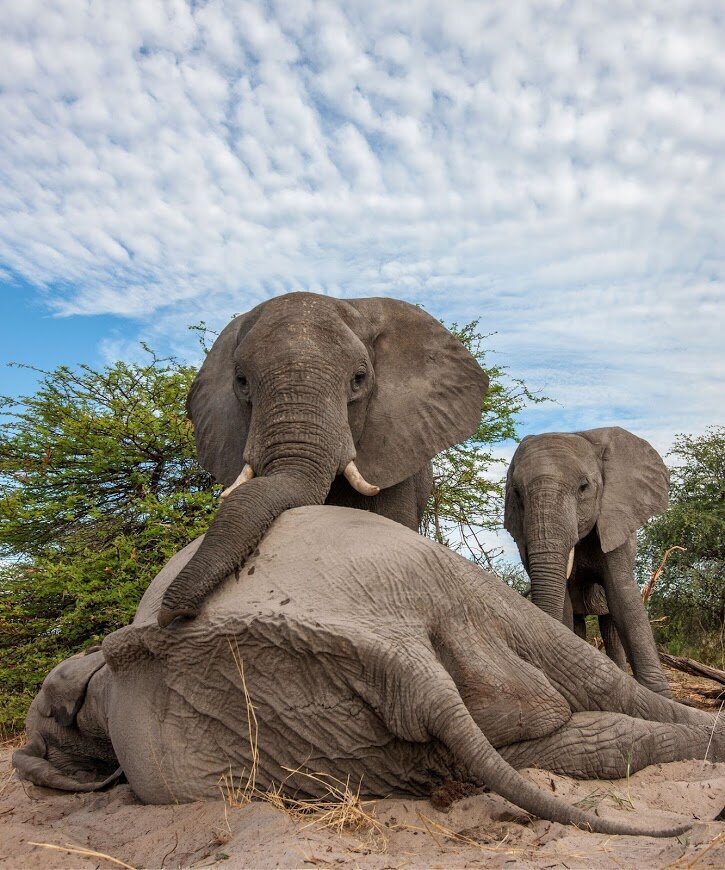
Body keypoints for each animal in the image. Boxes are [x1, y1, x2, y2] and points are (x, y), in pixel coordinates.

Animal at [504, 428, 668, 696]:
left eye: (583, 487)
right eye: (516, 493)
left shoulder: (614, 522)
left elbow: (624, 599)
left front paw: (660, 695)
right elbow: (564, 605)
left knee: (610, 626)